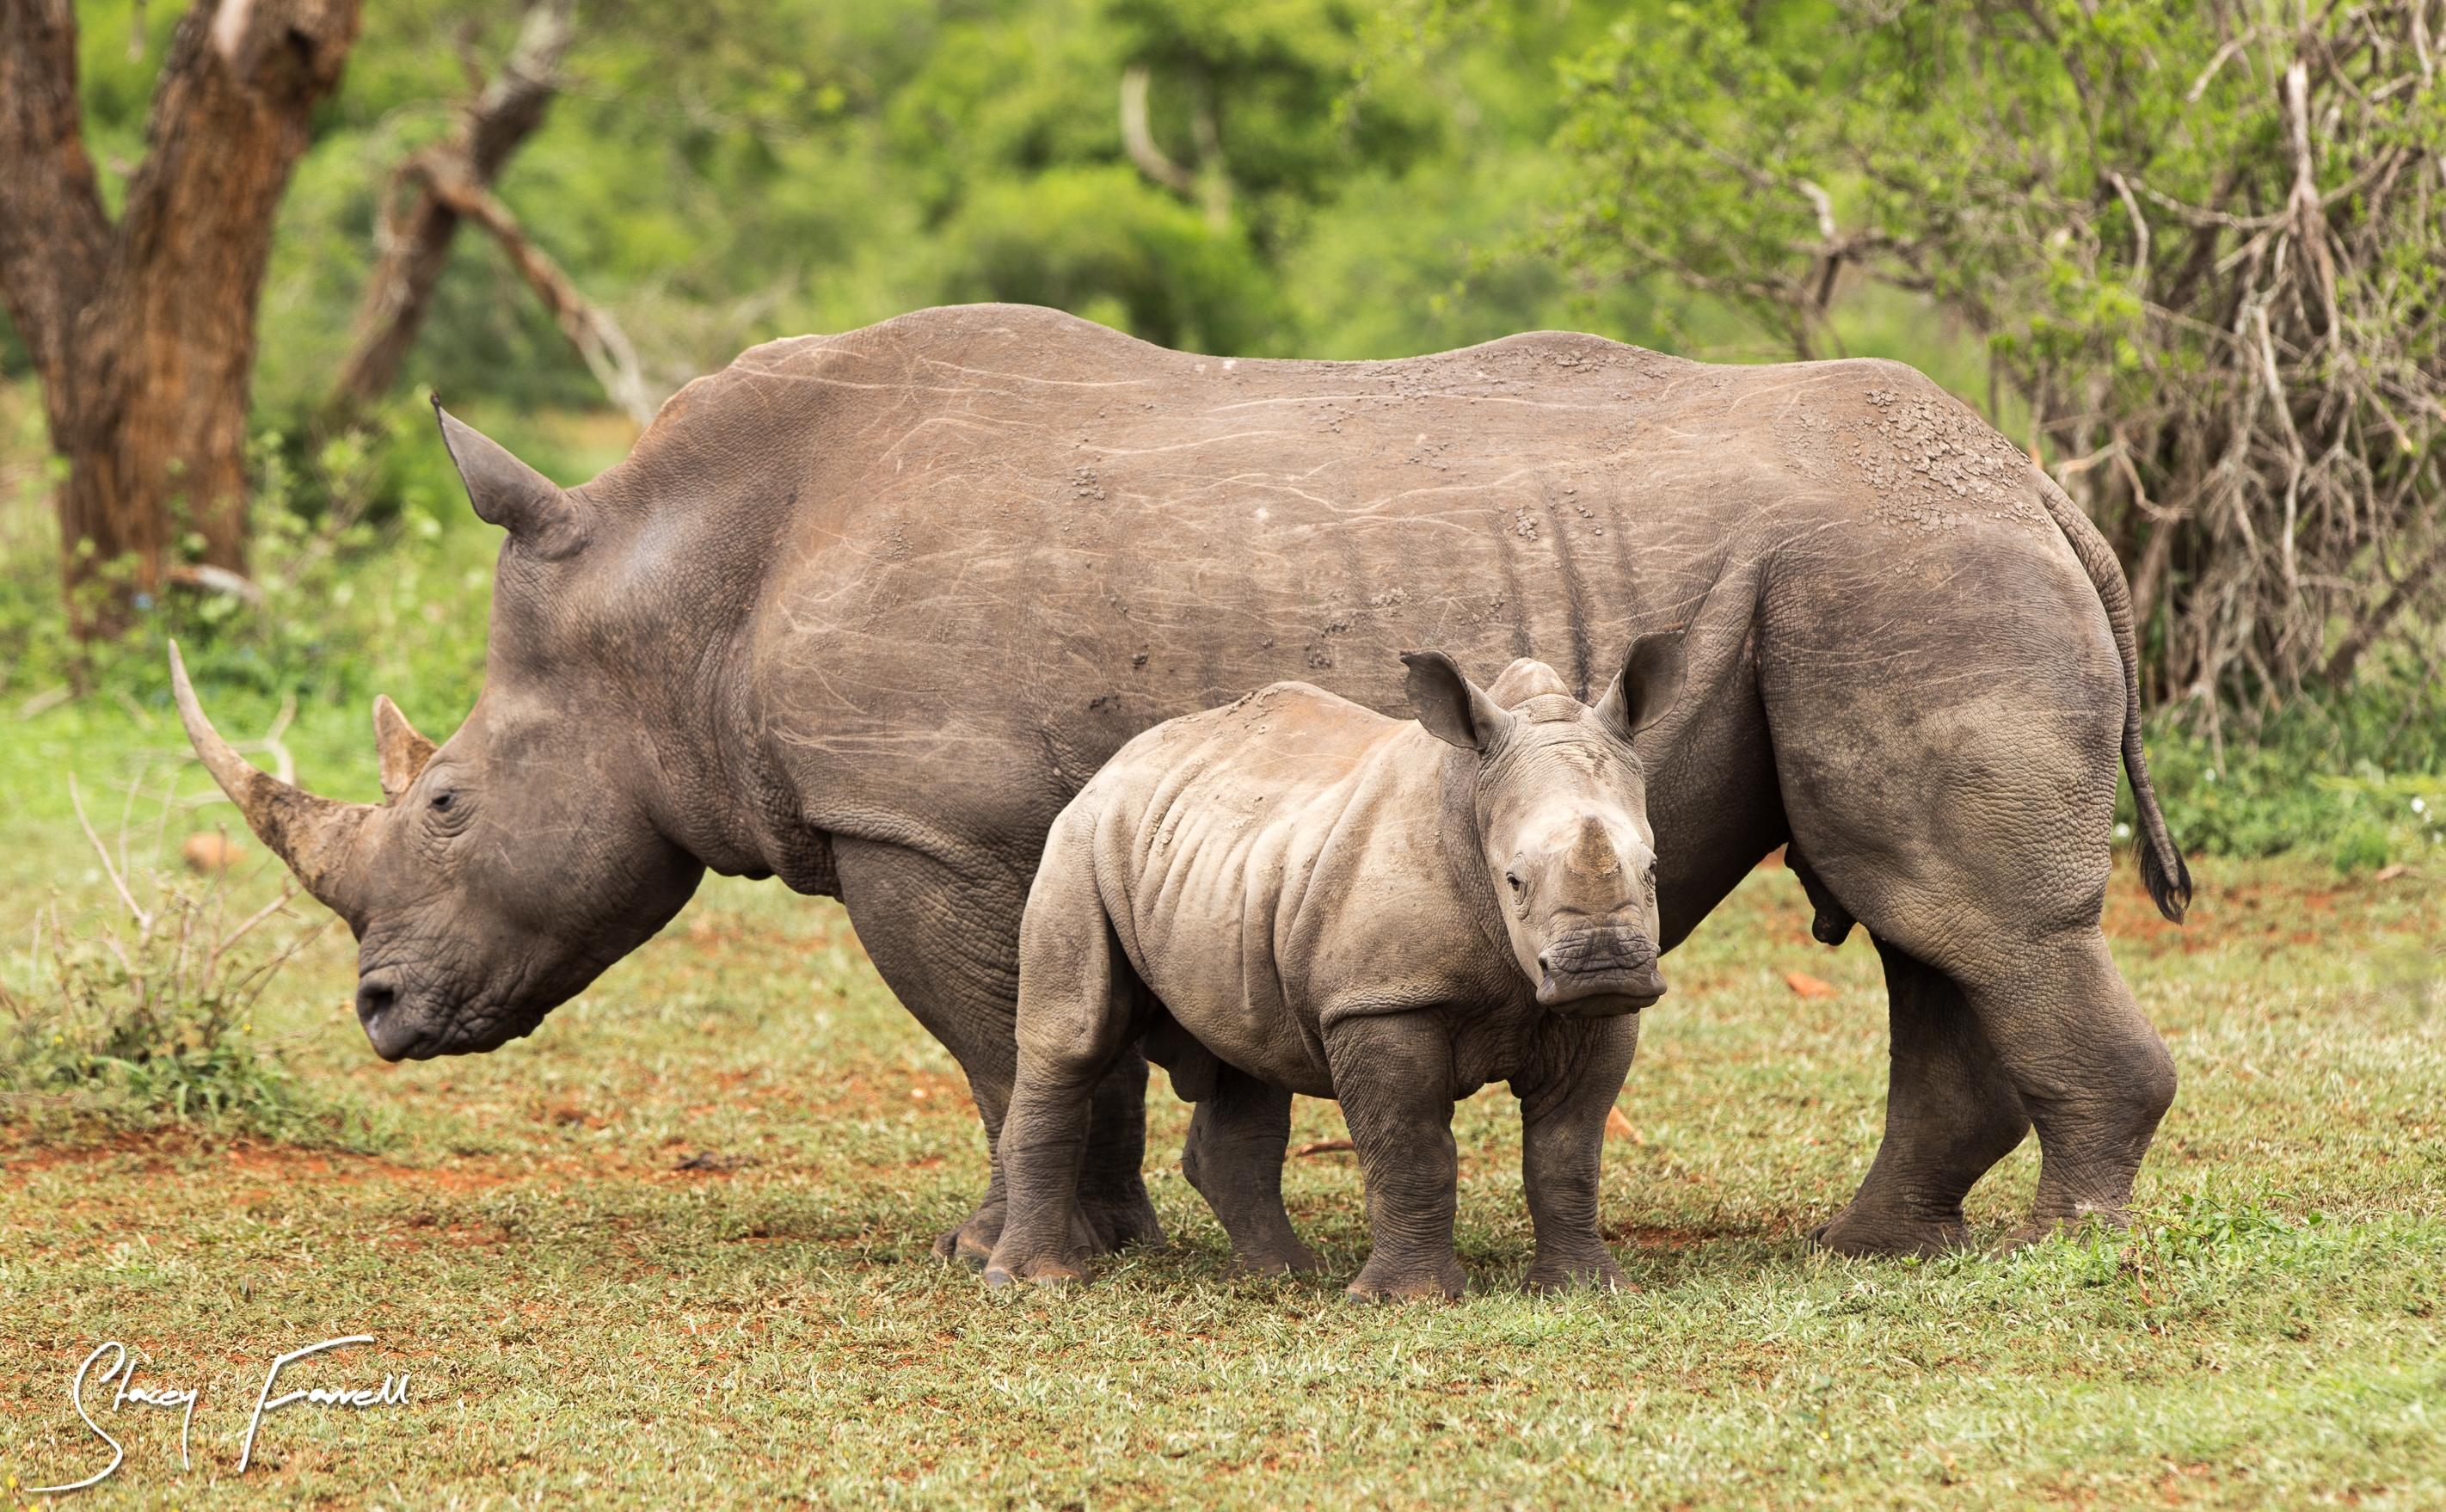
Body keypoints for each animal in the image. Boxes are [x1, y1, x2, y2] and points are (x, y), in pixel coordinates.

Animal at [989, 642, 1685, 1298]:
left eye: (1653, 868)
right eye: (1513, 881)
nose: (1603, 967)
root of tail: (1115, 762)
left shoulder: (1595, 1015)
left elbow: (1567, 1154)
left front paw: (1586, 1289)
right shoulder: (1379, 999)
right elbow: (1412, 1149)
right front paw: (1407, 1300)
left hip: (1227, 864)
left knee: (1249, 1052)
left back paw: (1281, 1276)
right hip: (1080, 840)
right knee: (1072, 1043)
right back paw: (1034, 1280)